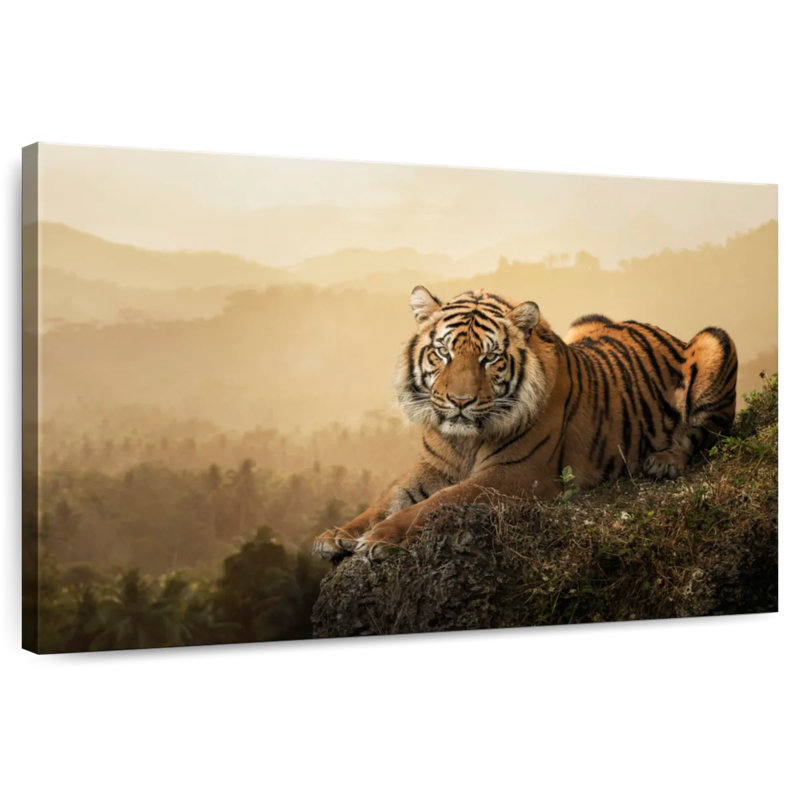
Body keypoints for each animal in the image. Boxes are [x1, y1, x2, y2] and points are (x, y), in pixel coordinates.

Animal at [312, 286, 738, 561]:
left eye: (489, 358)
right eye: (443, 353)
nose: (460, 402)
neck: (463, 440)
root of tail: (662, 329)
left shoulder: (515, 473)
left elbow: (438, 502)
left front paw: (380, 537)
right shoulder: (433, 466)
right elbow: (389, 498)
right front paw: (337, 535)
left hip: (715, 341)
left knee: (704, 435)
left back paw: (664, 462)